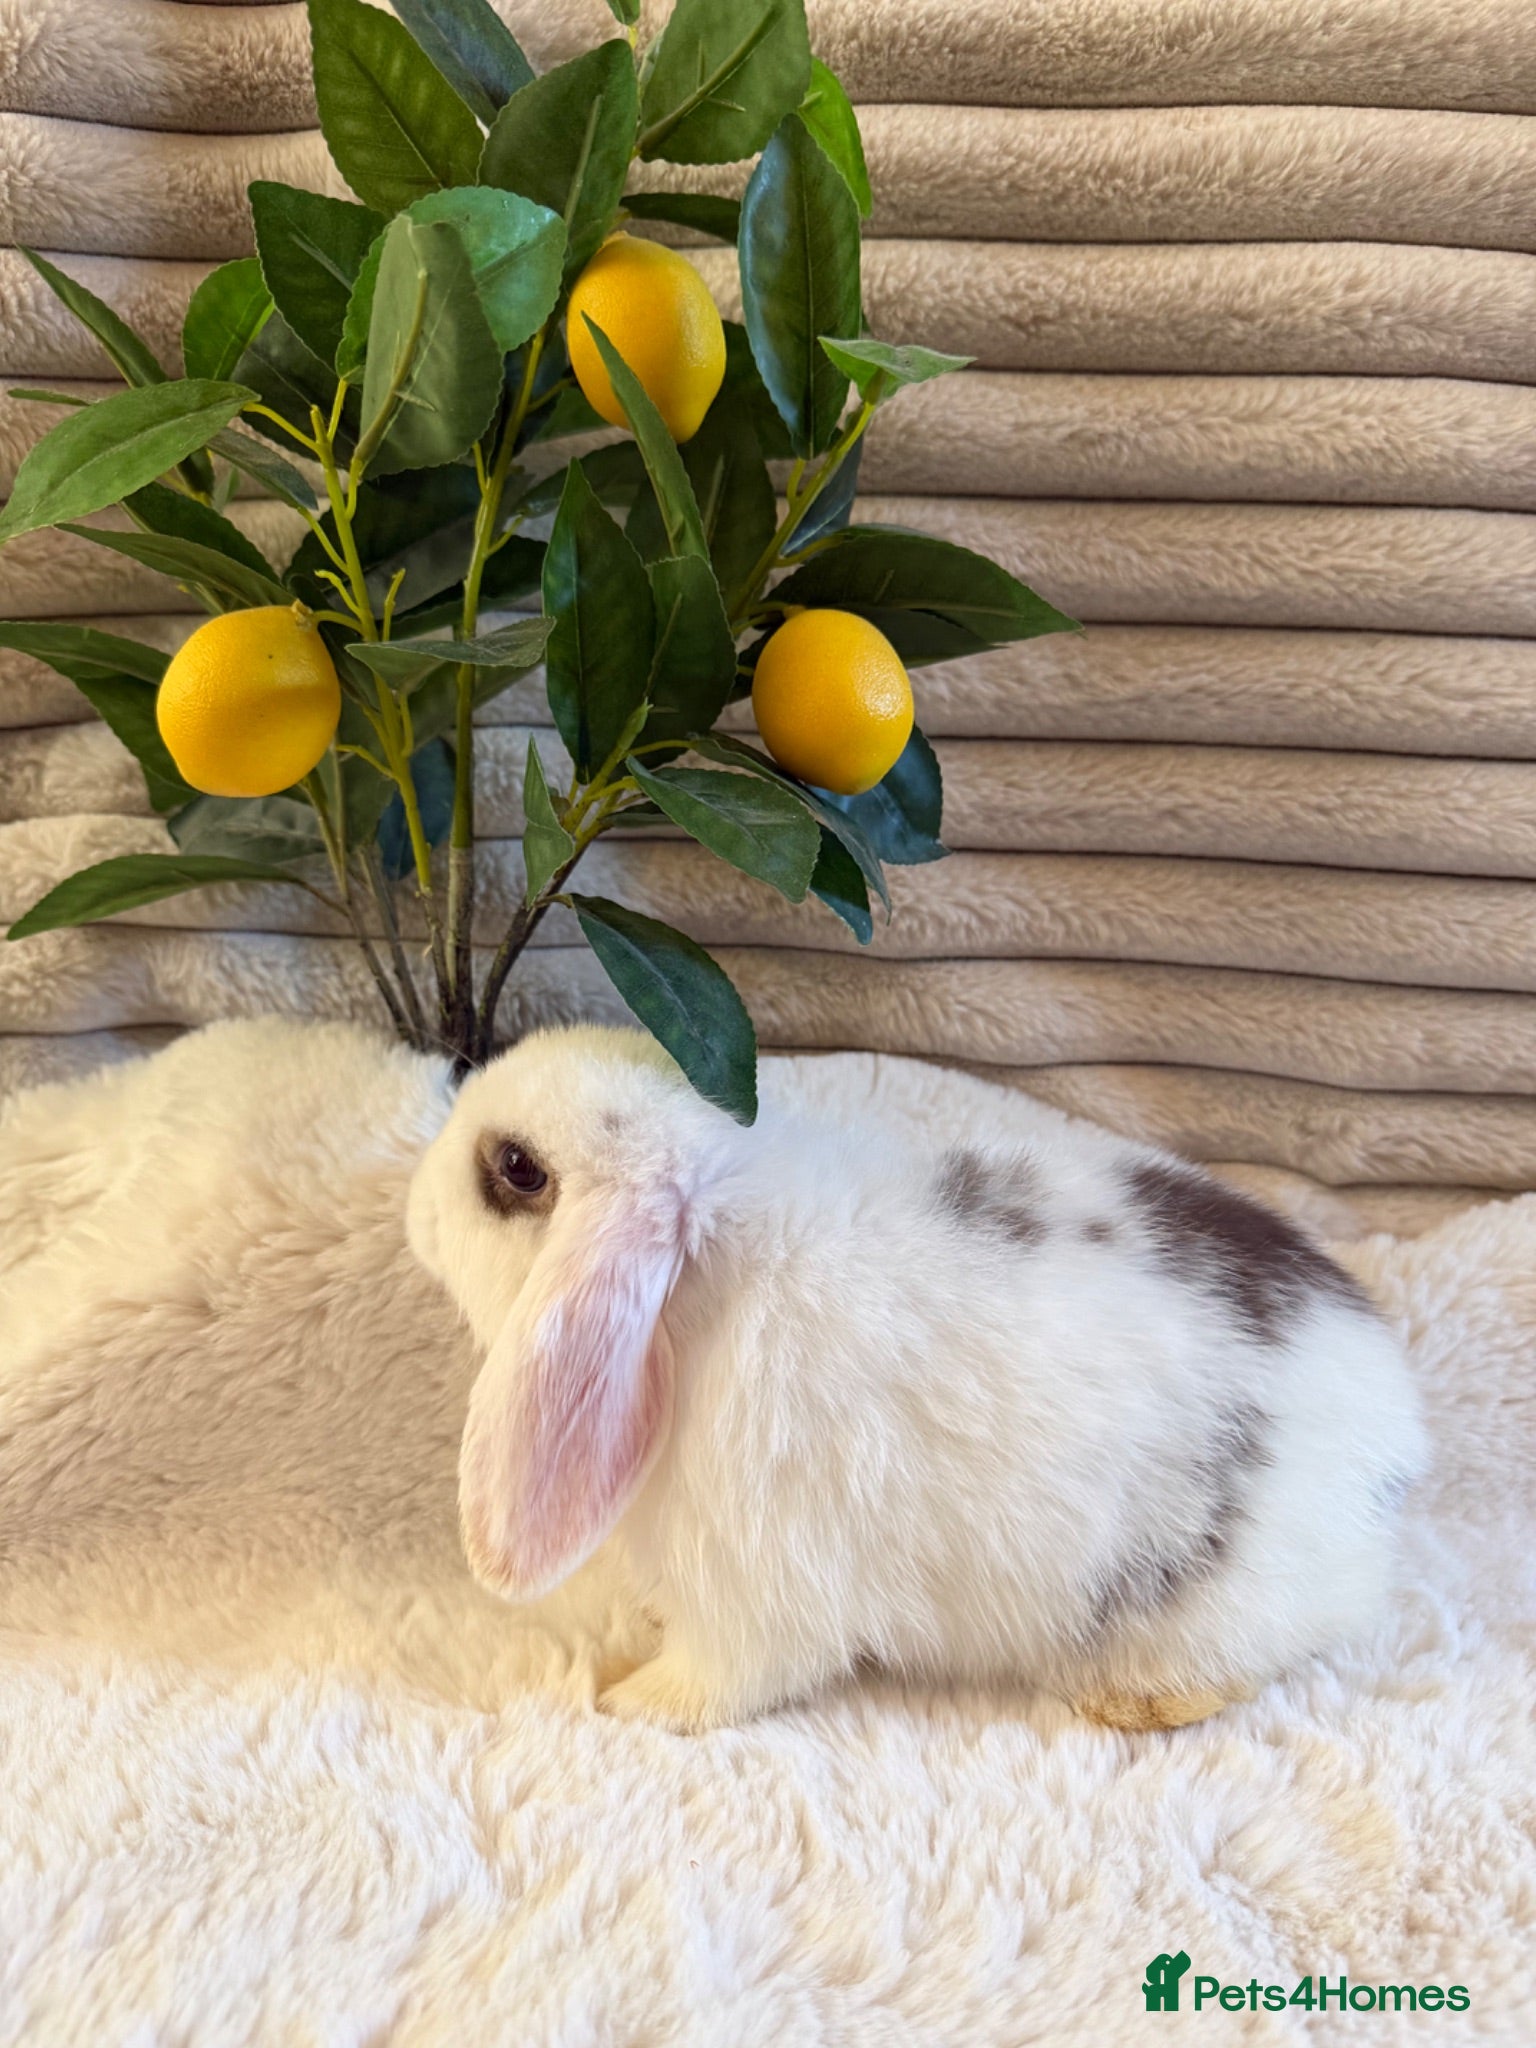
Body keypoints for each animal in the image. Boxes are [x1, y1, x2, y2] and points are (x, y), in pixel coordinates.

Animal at [407, 1025, 1428, 1735]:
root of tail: (1396, 1444)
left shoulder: (756, 1582)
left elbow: (726, 1674)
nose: (414, 1203)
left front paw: (634, 1702)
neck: (706, 1284)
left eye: (517, 1170)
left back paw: (1128, 1702)